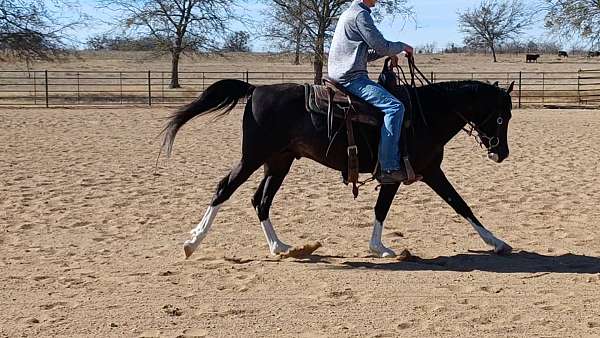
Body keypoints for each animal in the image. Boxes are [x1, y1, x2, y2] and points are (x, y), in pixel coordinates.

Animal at [162, 74, 512, 258]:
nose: (502, 154)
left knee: (260, 199)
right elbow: (385, 209)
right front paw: (380, 248)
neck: (425, 115)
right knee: (225, 188)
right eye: (501, 117)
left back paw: (279, 246)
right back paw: (192, 242)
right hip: (253, 157)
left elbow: (460, 204)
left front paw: (496, 242)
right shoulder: (397, 175)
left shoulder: (430, 172)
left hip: (278, 162)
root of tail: (257, 89)